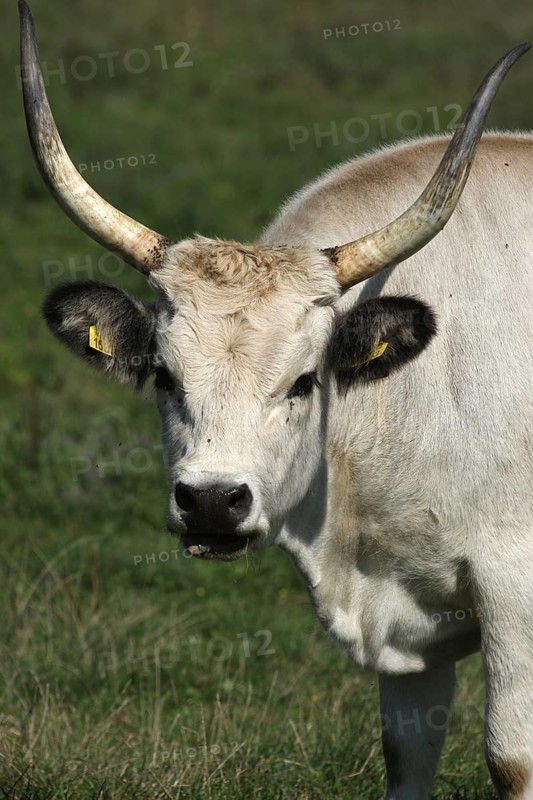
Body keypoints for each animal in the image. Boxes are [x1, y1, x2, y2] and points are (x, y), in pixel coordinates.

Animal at [18, 0, 533, 797]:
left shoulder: (514, 587)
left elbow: (511, 758)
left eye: (303, 381)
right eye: (163, 376)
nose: (209, 502)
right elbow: (406, 753)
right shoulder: (409, 617)